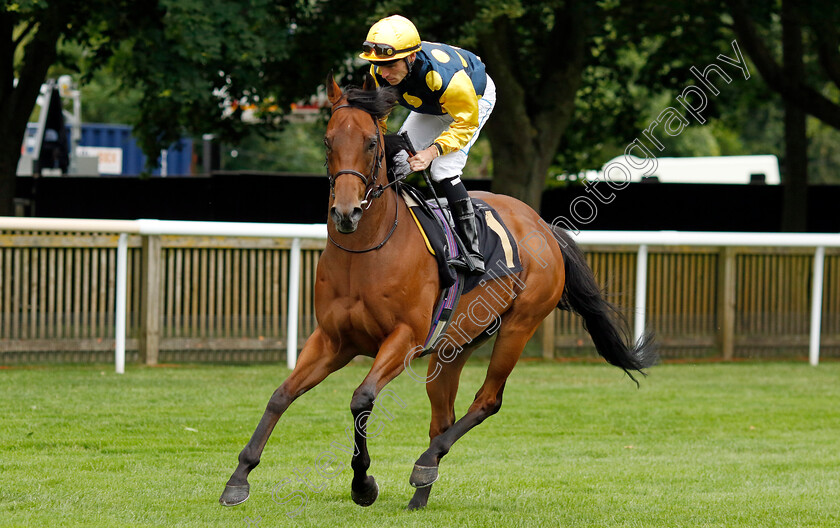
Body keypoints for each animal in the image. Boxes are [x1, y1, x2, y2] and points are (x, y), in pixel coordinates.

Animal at [218, 74, 656, 512]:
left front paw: (363, 484)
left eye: (371, 143)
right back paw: (421, 492)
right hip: (455, 345)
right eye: (328, 140)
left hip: (519, 326)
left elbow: (361, 399)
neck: (366, 251)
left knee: (487, 400)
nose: (346, 212)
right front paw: (239, 478)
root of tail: (543, 226)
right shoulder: (332, 340)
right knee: (443, 417)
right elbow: (281, 395)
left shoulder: (405, 339)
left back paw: (424, 465)